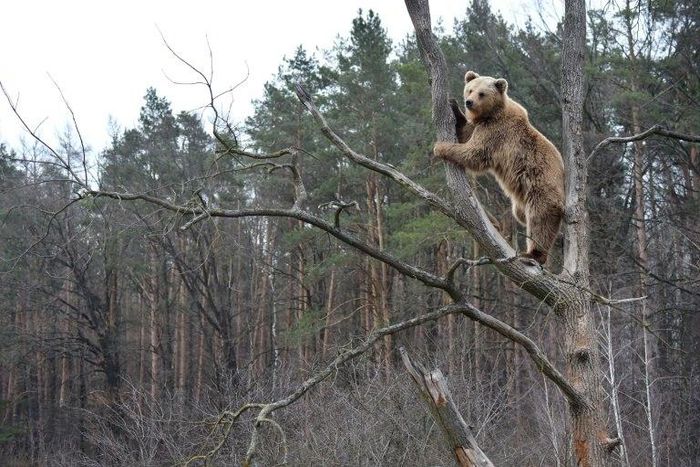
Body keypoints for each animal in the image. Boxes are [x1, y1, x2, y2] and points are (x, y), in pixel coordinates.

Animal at [433, 71, 565, 265]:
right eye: (470, 89)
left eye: (482, 93)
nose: (469, 102)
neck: (491, 114)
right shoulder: (480, 125)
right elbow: (465, 133)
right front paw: (453, 106)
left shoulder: (495, 133)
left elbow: (474, 153)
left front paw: (440, 147)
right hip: (522, 201)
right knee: (522, 214)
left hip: (542, 187)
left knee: (540, 220)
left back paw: (533, 254)